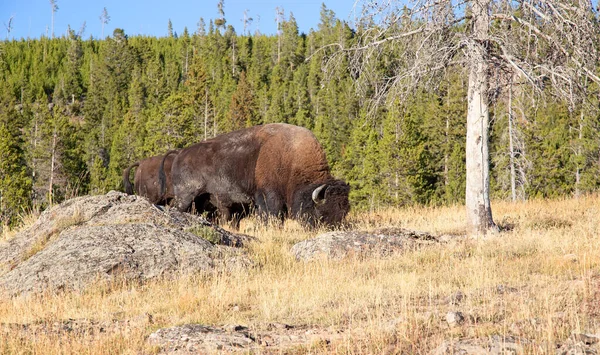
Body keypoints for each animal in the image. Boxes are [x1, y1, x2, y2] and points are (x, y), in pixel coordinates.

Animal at [159, 123, 352, 228]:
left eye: (345, 211)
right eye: (321, 211)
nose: (332, 229)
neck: (291, 157)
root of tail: (180, 154)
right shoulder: (268, 196)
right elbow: (271, 215)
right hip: (186, 197)